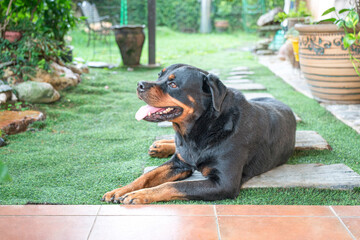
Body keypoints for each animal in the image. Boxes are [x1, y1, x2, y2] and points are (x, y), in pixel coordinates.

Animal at [100, 62, 296, 203]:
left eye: (173, 84)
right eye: (159, 75)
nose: (140, 84)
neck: (201, 129)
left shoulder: (223, 183)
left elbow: (173, 186)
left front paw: (140, 194)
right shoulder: (179, 163)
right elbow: (147, 176)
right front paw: (120, 190)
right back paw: (161, 146)